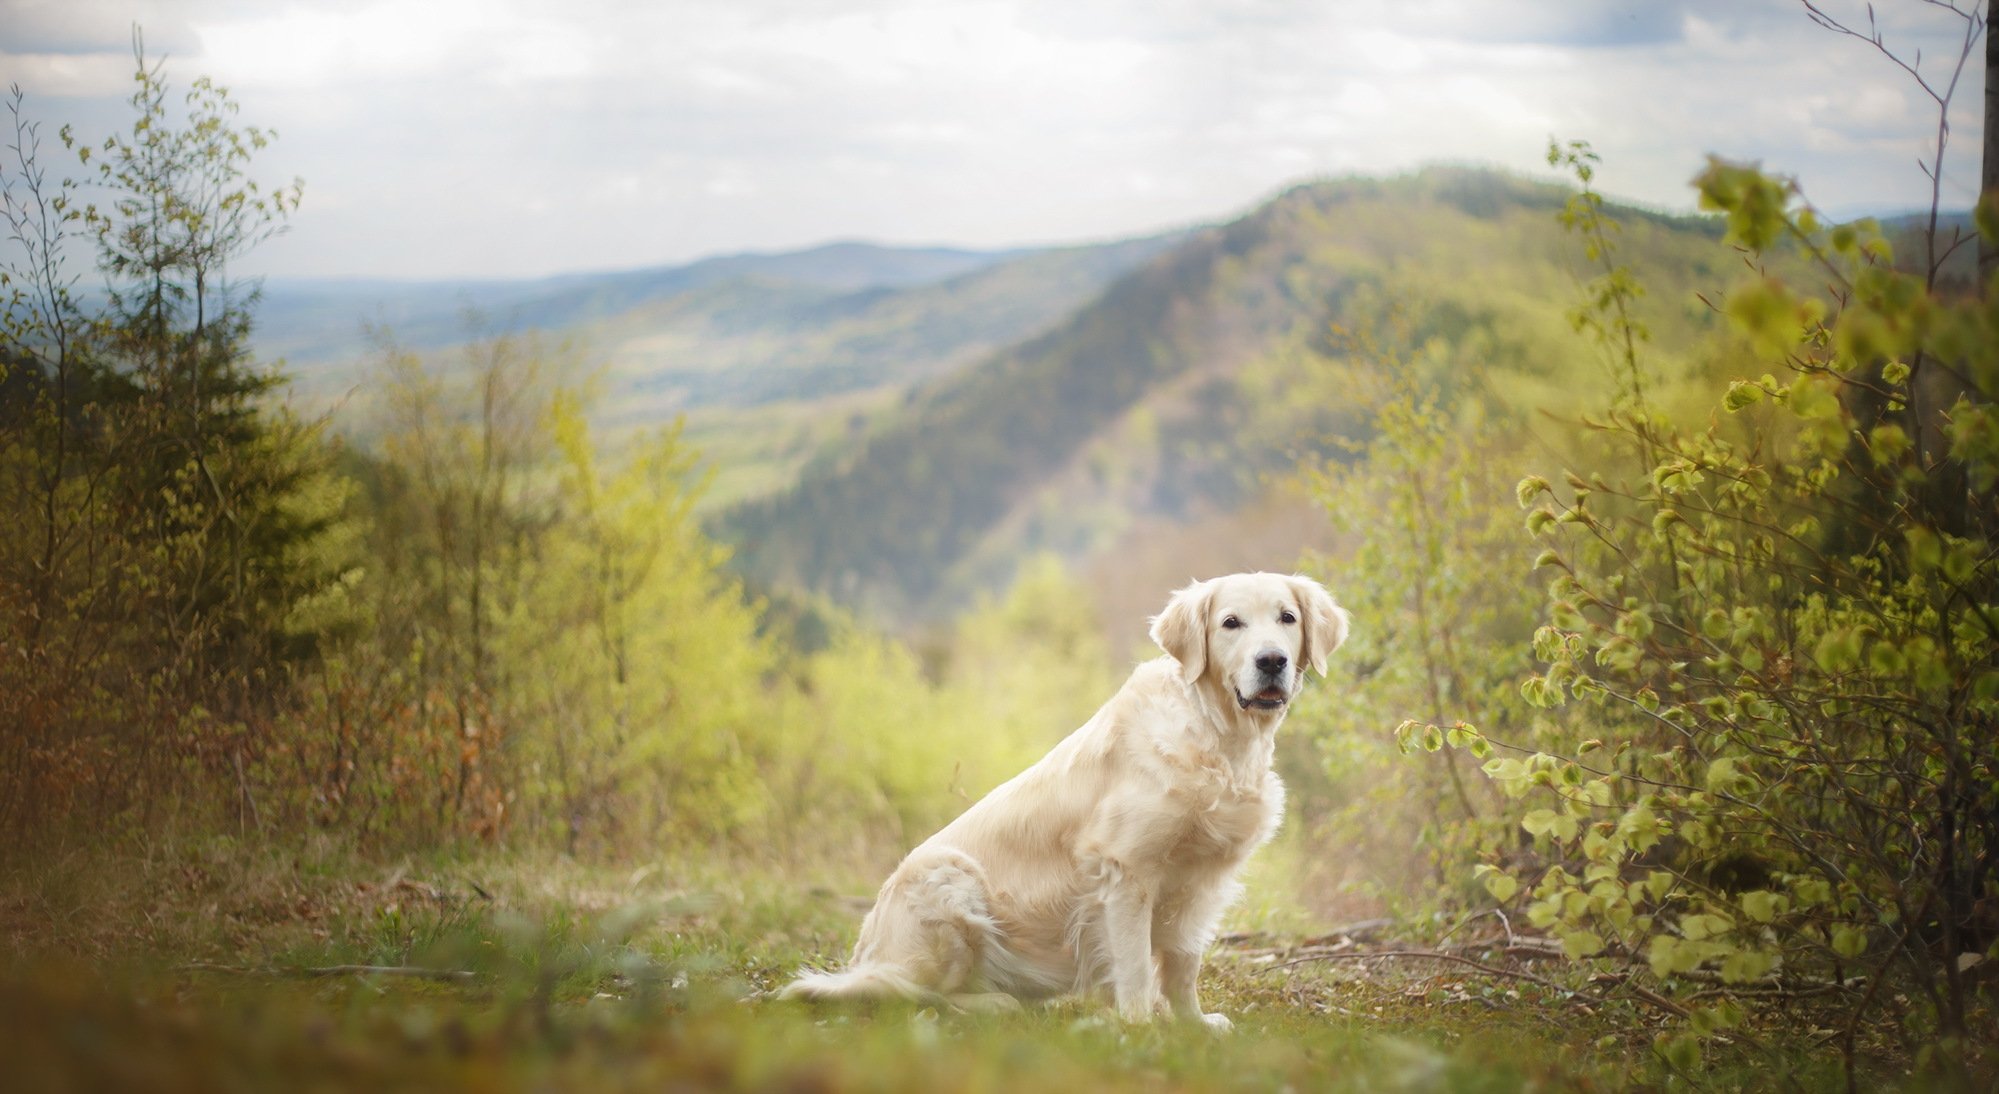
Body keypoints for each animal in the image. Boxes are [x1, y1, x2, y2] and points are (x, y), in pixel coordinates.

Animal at [779, 576, 1343, 1032]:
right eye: (1230, 623)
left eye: (1287, 618)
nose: (1271, 660)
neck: (1216, 736)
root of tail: (868, 953)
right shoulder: (1125, 870)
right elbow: (1135, 965)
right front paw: (1141, 1029)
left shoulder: (1200, 882)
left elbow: (1183, 964)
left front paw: (1194, 1024)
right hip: (948, 880)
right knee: (915, 996)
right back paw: (995, 1005)